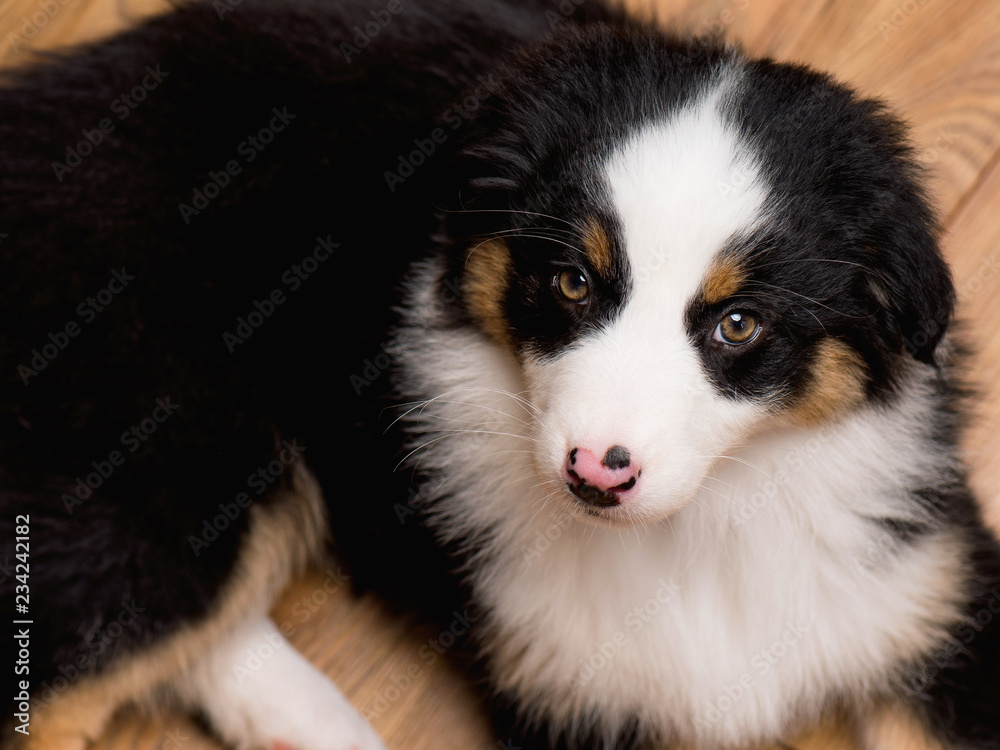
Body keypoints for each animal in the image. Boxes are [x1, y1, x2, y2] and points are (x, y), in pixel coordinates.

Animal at [1, 1, 1000, 750]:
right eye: (571, 280)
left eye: (738, 324)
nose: (596, 473)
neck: (702, 525)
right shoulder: (569, 693)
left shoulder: (936, 603)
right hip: (173, 449)